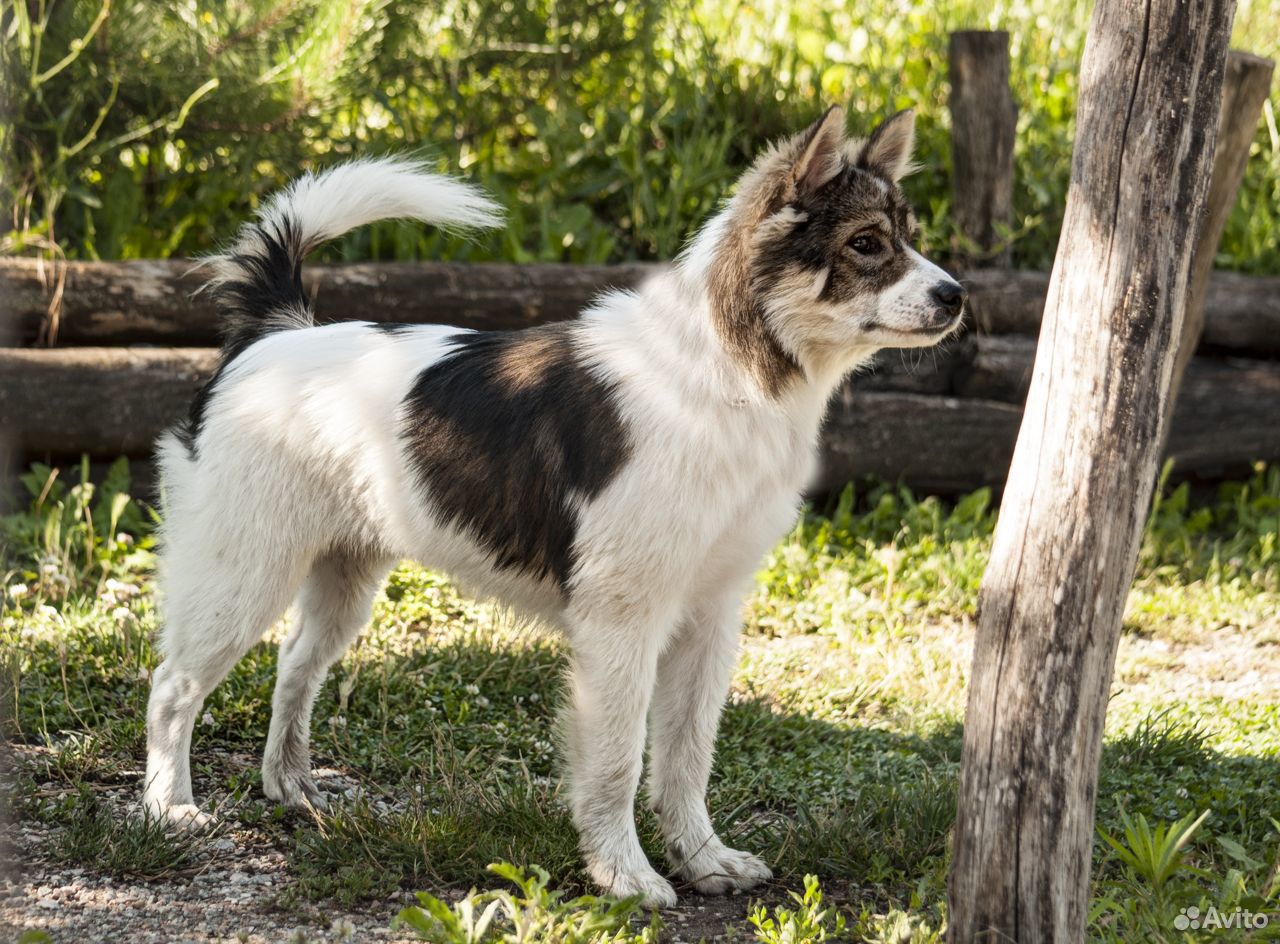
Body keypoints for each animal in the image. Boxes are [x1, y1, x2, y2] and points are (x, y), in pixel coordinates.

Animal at [142, 104, 962, 905]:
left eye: (910, 240)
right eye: (866, 244)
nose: (956, 296)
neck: (724, 373)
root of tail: (273, 335)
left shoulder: (709, 617)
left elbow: (687, 756)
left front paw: (702, 859)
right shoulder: (623, 624)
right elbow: (618, 761)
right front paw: (625, 875)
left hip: (341, 578)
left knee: (294, 666)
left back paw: (289, 784)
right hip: (243, 575)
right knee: (173, 687)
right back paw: (169, 807)